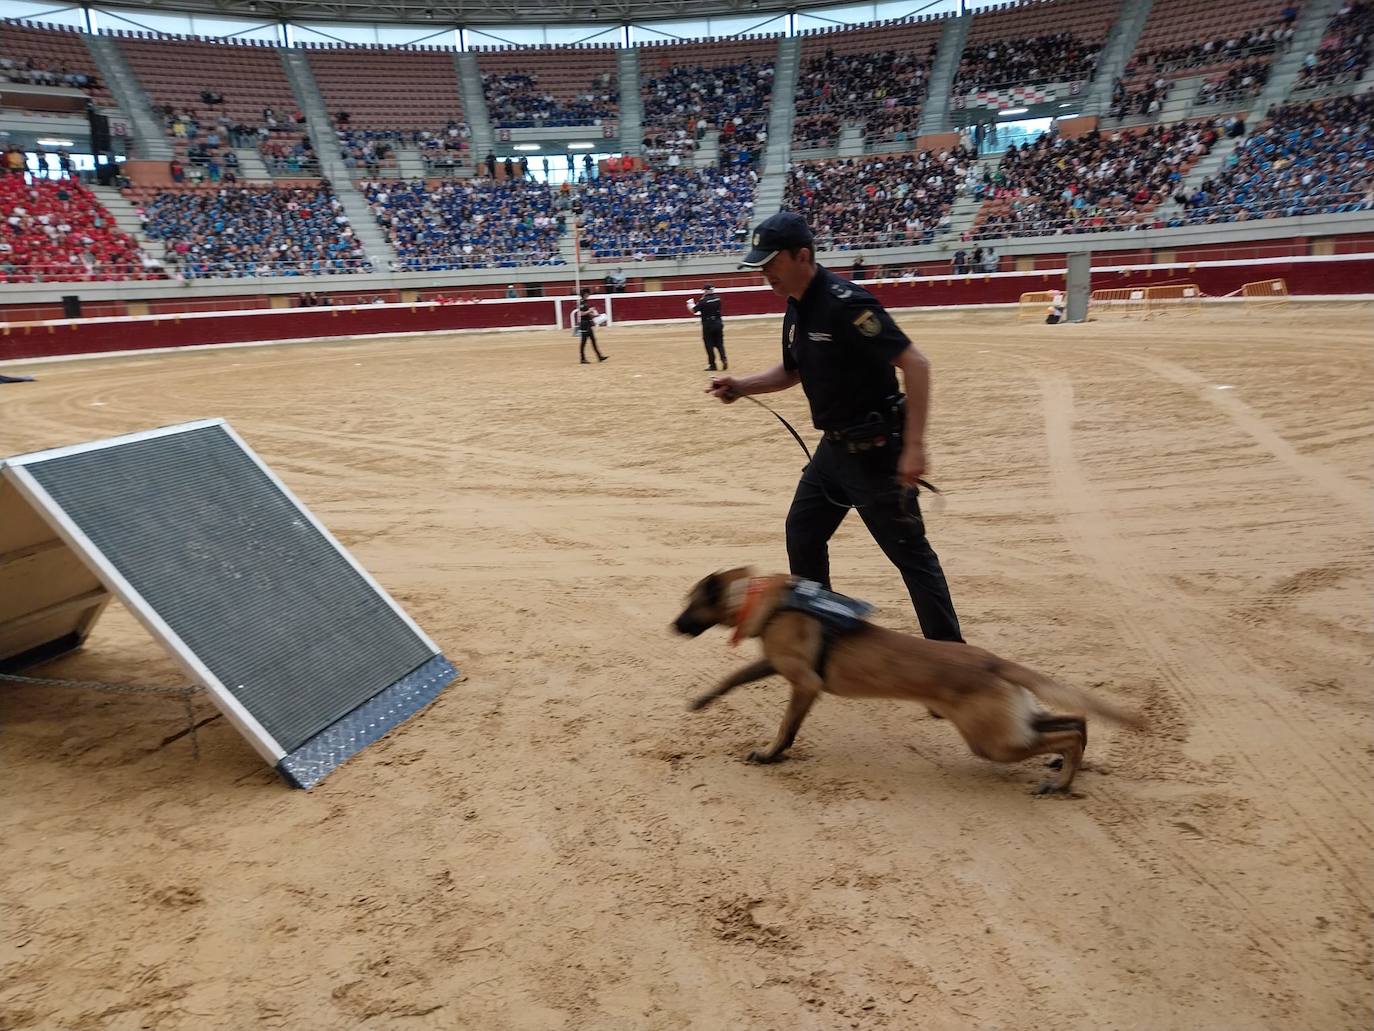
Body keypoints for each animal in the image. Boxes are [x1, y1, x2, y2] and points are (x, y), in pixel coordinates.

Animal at [670, 569, 1143, 797]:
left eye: (690, 604)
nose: (673, 627)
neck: (761, 600)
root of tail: (995, 663)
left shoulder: (804, 684)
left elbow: (786, 728)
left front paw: (770, 755)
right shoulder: (773, 663)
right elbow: (733, 677)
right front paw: (703, 700)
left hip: (993, 742)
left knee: (1070, 735)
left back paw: (1060, 784)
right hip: (1013, 726)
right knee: (1077, 722)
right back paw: (1063, 773)